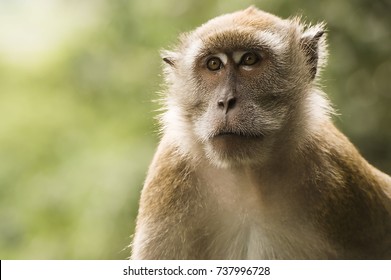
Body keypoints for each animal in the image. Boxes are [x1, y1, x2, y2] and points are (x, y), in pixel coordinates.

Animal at [132, 7, 391, 260]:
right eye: (214, 64)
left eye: (249, 60)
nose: (225, 101)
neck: (248, 177)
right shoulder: (169, 175)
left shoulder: (340, 170)